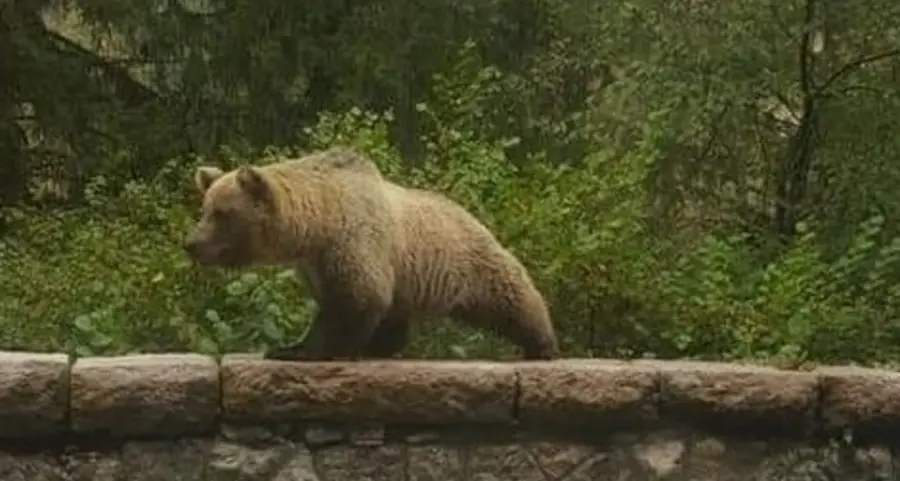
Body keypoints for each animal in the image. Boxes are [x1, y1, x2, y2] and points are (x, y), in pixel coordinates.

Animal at [183, 146, 559, 361]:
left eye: (222, 213)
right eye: (205, 209)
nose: (192, 243)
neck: (316, 224)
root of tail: (469, 213)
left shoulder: (352, 239)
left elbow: (357, 297)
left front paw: (309, 352)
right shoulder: (315, 262)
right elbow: (336, 301)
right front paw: (290, 346)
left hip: (464, 259)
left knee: (510, 296)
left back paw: (542, 345)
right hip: (409, 279)